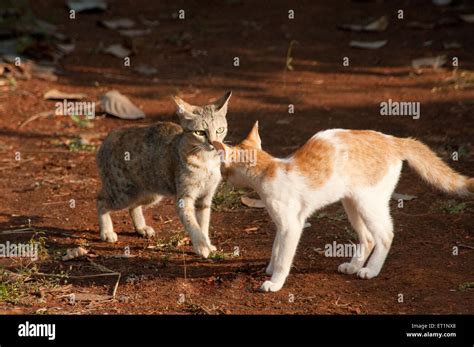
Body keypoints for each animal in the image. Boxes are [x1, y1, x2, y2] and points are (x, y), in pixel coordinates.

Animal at [96, 92, 231, 258]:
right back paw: (107, 232)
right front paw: (201, 246)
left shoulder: (205, 198)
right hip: (123, 193)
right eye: (200, 132)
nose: (213, 143)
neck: (206, 161)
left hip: (150, 193)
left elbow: (203, 224)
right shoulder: (184, 198)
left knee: (133, 206)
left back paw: (141, 228)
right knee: (101, 201)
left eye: (220, 130)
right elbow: (193, 225)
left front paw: (207, 243)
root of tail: (108, 137)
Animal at [212, 123, 474, 292]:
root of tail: (392, 139)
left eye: (223, 167)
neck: (268, 169)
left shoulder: (292, 225)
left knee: (385, 235)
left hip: (369, 203)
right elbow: (276, 249)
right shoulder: (281, 225)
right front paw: (270, 268)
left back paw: (370, 270)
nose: (221, 176)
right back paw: (354, 265)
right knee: (368, 237)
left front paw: (275, 282)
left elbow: (284, 256)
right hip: (352, 203)